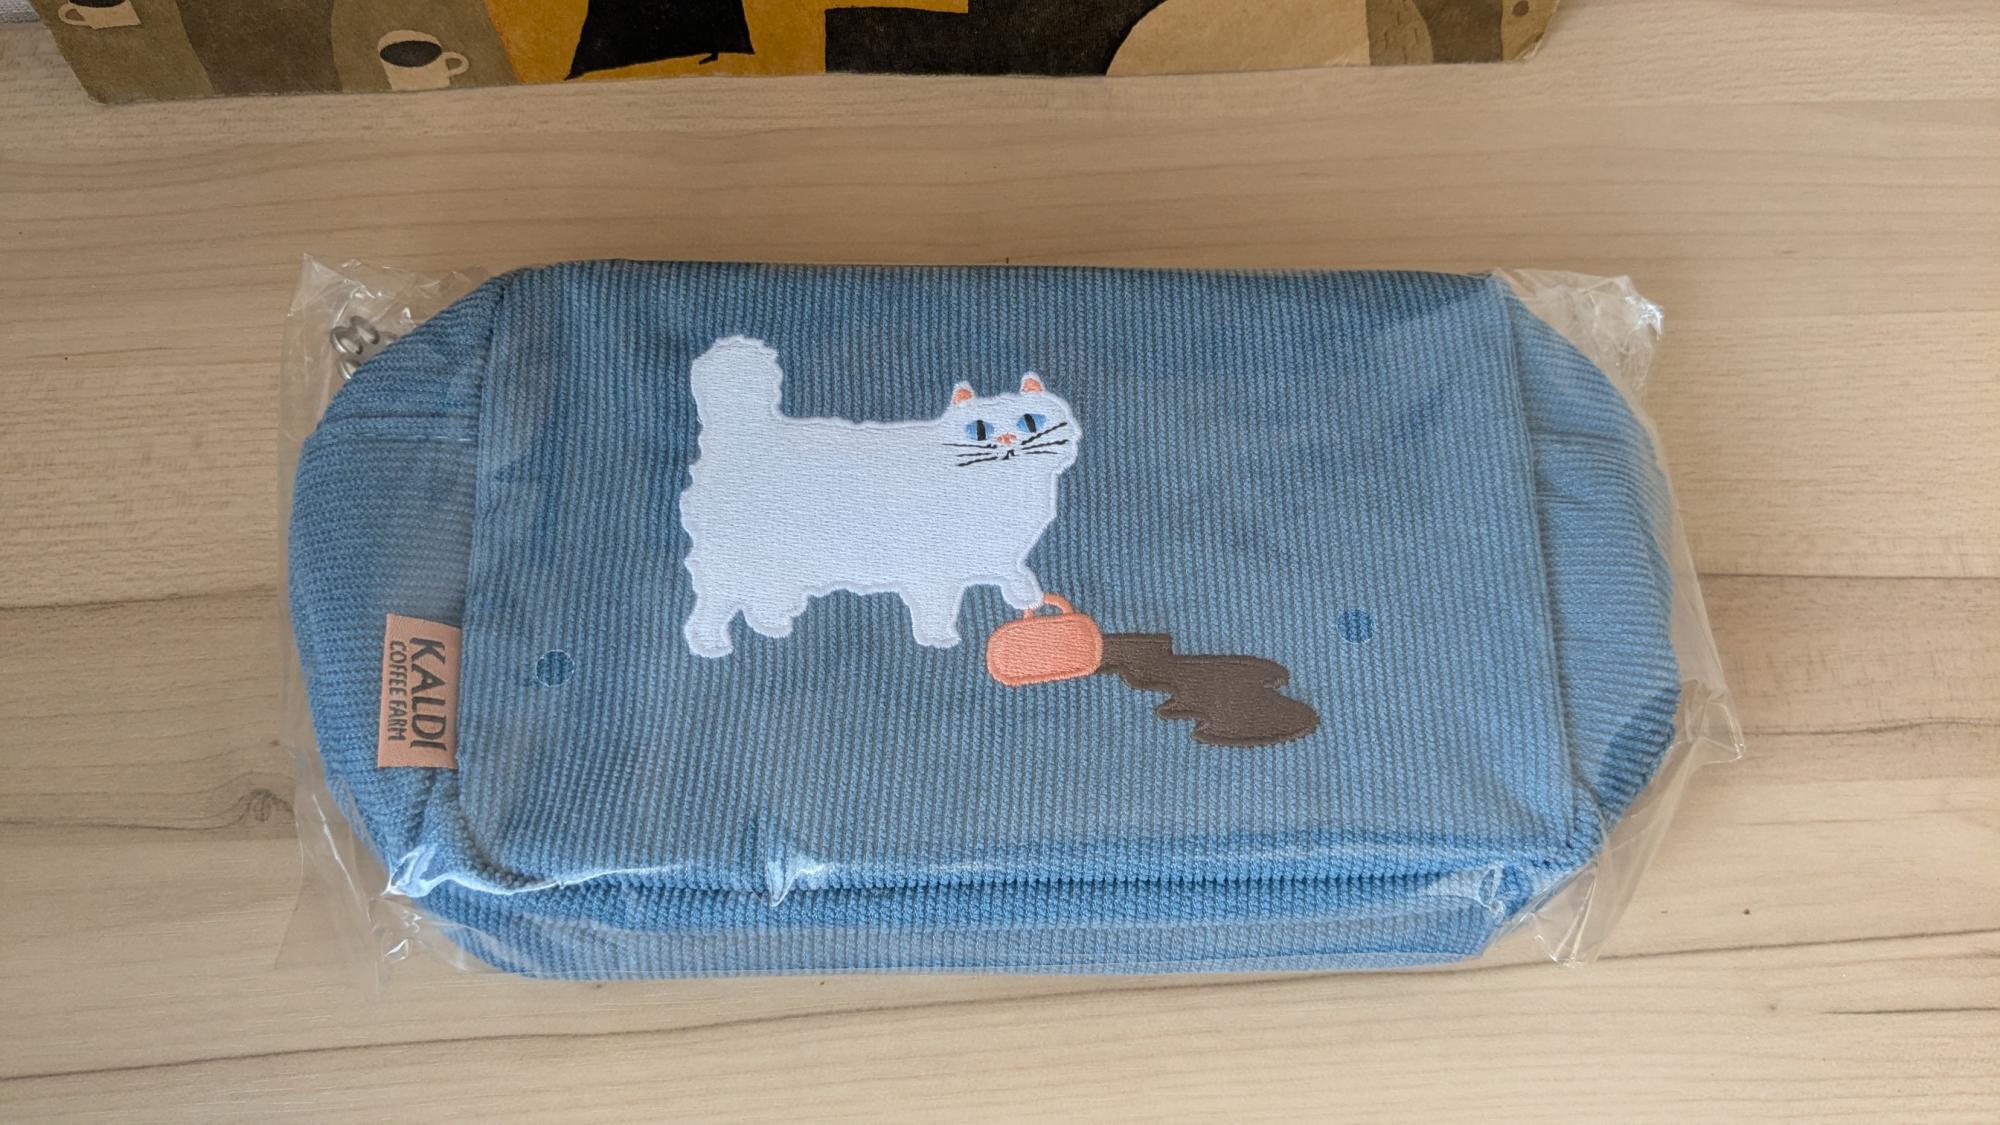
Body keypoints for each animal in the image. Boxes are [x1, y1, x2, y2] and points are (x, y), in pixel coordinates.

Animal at [679, 336, 1080, 657]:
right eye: (978, 430)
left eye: (1030, 421)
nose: (1007, 440)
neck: (1004, 496)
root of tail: (744, 431)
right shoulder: (931, 571)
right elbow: (936, 607)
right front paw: (939, 637)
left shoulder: (995, 552)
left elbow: (1009, 571)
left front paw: (1025, 593)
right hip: (734, 558)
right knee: (715, 601)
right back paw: (711, 641)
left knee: (760, 594)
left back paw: (774, 622)